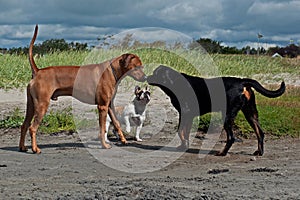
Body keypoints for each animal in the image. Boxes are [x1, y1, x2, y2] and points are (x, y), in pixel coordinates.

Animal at [19, 25, 147, 153]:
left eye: (142, 67)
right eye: (137, 67)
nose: (145, 77)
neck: (112, 71)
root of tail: (38, 71)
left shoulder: (109, 105)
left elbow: (117, 123)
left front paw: (123, 140)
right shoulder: (102, 107)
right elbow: (102, 129)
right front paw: (104, 145)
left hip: (31, 106)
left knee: (24, 125)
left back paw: (22, 147)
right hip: (42, 105)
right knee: (32, 128)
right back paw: (35, 149)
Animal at [148, 65, 286, 156]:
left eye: (155, 73)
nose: (147, 77)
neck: (175, 83)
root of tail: (242, 82)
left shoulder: (185, 113)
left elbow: (180, 131)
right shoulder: (190, 116)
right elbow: (185, 133)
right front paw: (184, 146)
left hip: (227, 116)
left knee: (231, 137)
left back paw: (222, 153)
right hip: (250, 113)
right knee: (260, 133)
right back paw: (259, 152)